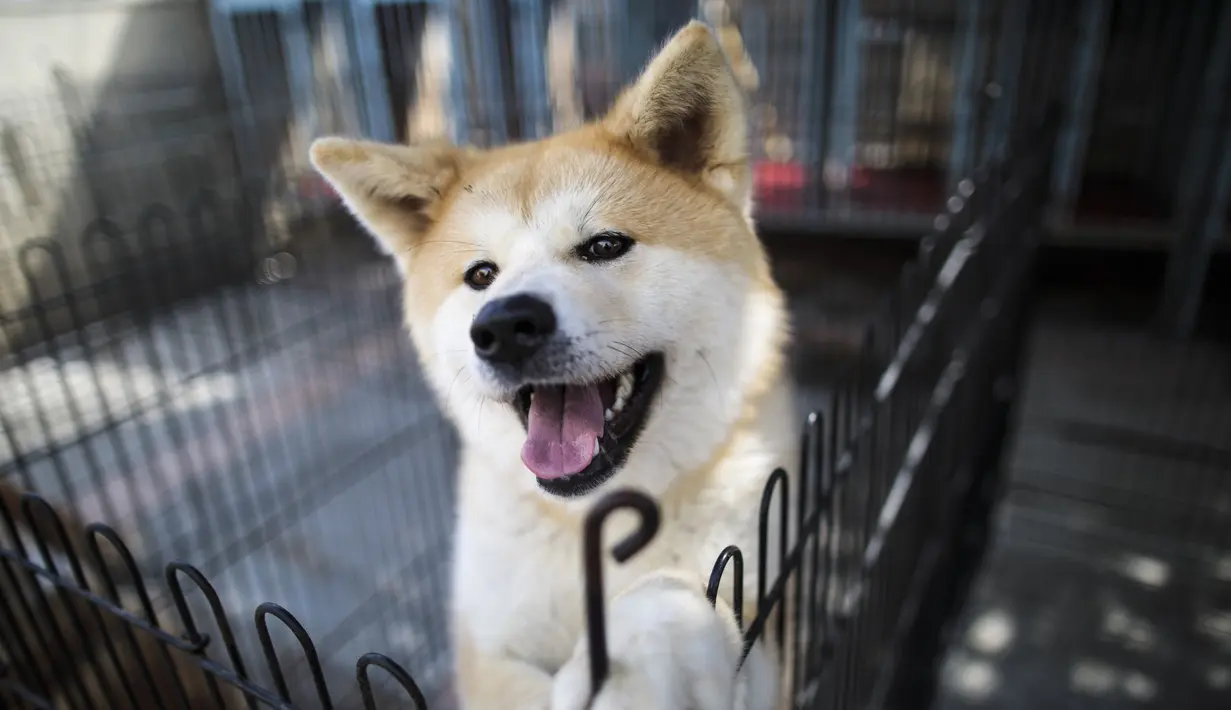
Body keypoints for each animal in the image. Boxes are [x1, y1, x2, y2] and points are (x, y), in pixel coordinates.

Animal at [310, 22, 797, 708]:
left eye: (604, 246)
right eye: (481, 276)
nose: (504, 328)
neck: (592, 526)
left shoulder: (769, 604)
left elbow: (685, 598)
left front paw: (652, 643)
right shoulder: (487, 650)